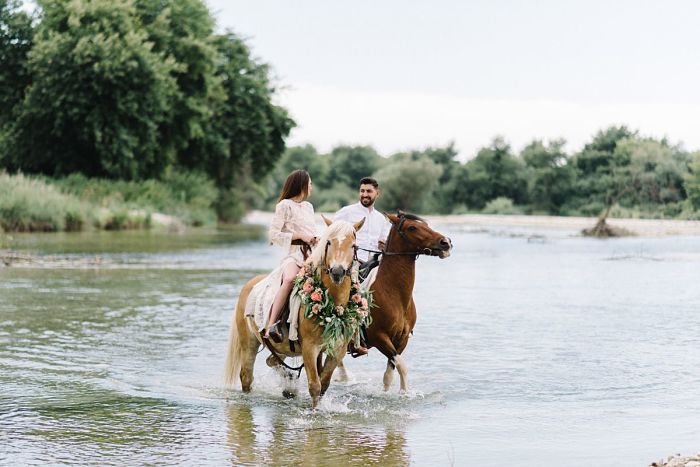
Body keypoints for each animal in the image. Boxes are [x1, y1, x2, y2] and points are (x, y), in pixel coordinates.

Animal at [224, 218, 366, 408]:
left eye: (353, 245)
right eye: (329, 242)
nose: (337, 271)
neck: (333, 309)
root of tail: (250, 285)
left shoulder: (337, 350)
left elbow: (324, 383)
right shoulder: (310, 348)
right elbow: (315, 385)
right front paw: (314, 411)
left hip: (281, 346)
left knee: (272, 361)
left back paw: (289, 385)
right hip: (249, 344)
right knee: (246, 377)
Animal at [336, 214, 452, 394]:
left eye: (426, 225)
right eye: (412, 227)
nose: (445, 242)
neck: (394, 293)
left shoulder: (401, 340)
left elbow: (389, 374)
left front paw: (399, 394)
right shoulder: (380, 338)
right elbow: (402, 367)